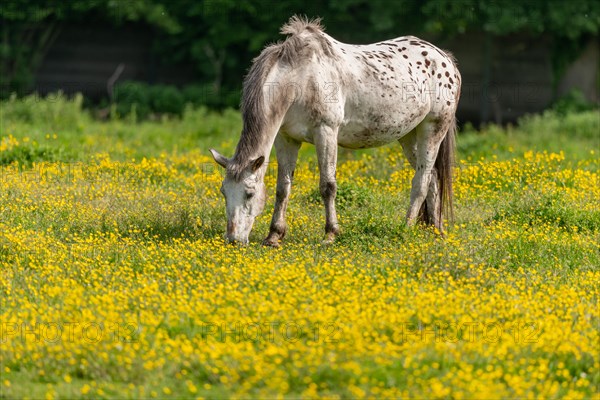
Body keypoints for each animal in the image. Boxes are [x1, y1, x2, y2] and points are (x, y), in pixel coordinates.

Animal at [209, 15, 462, 245]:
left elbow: (327, 186)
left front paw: (330, 234)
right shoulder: (286, 139)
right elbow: (283, 188)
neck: (300, 80)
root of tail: (445, 60)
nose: (233, 239)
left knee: (421, 181)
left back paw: (406, 228)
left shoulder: (326, 132)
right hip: (409, 136)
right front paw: (274, 236)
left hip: (433, 129)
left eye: (249, 193)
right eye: (223, 191)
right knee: (433, 177)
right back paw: (436, 230)